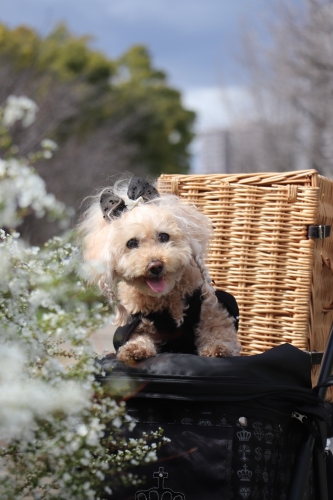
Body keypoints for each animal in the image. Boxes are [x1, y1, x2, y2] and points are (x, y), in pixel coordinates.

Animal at [78, 178, 239, 362]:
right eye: (131, 243)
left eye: (164, 236)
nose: (155, 266)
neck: (166, 297)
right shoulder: (138, 322)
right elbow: (140, 337)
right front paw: (134, 350)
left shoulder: (210, 310)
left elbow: (217, 331)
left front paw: (218, 347)